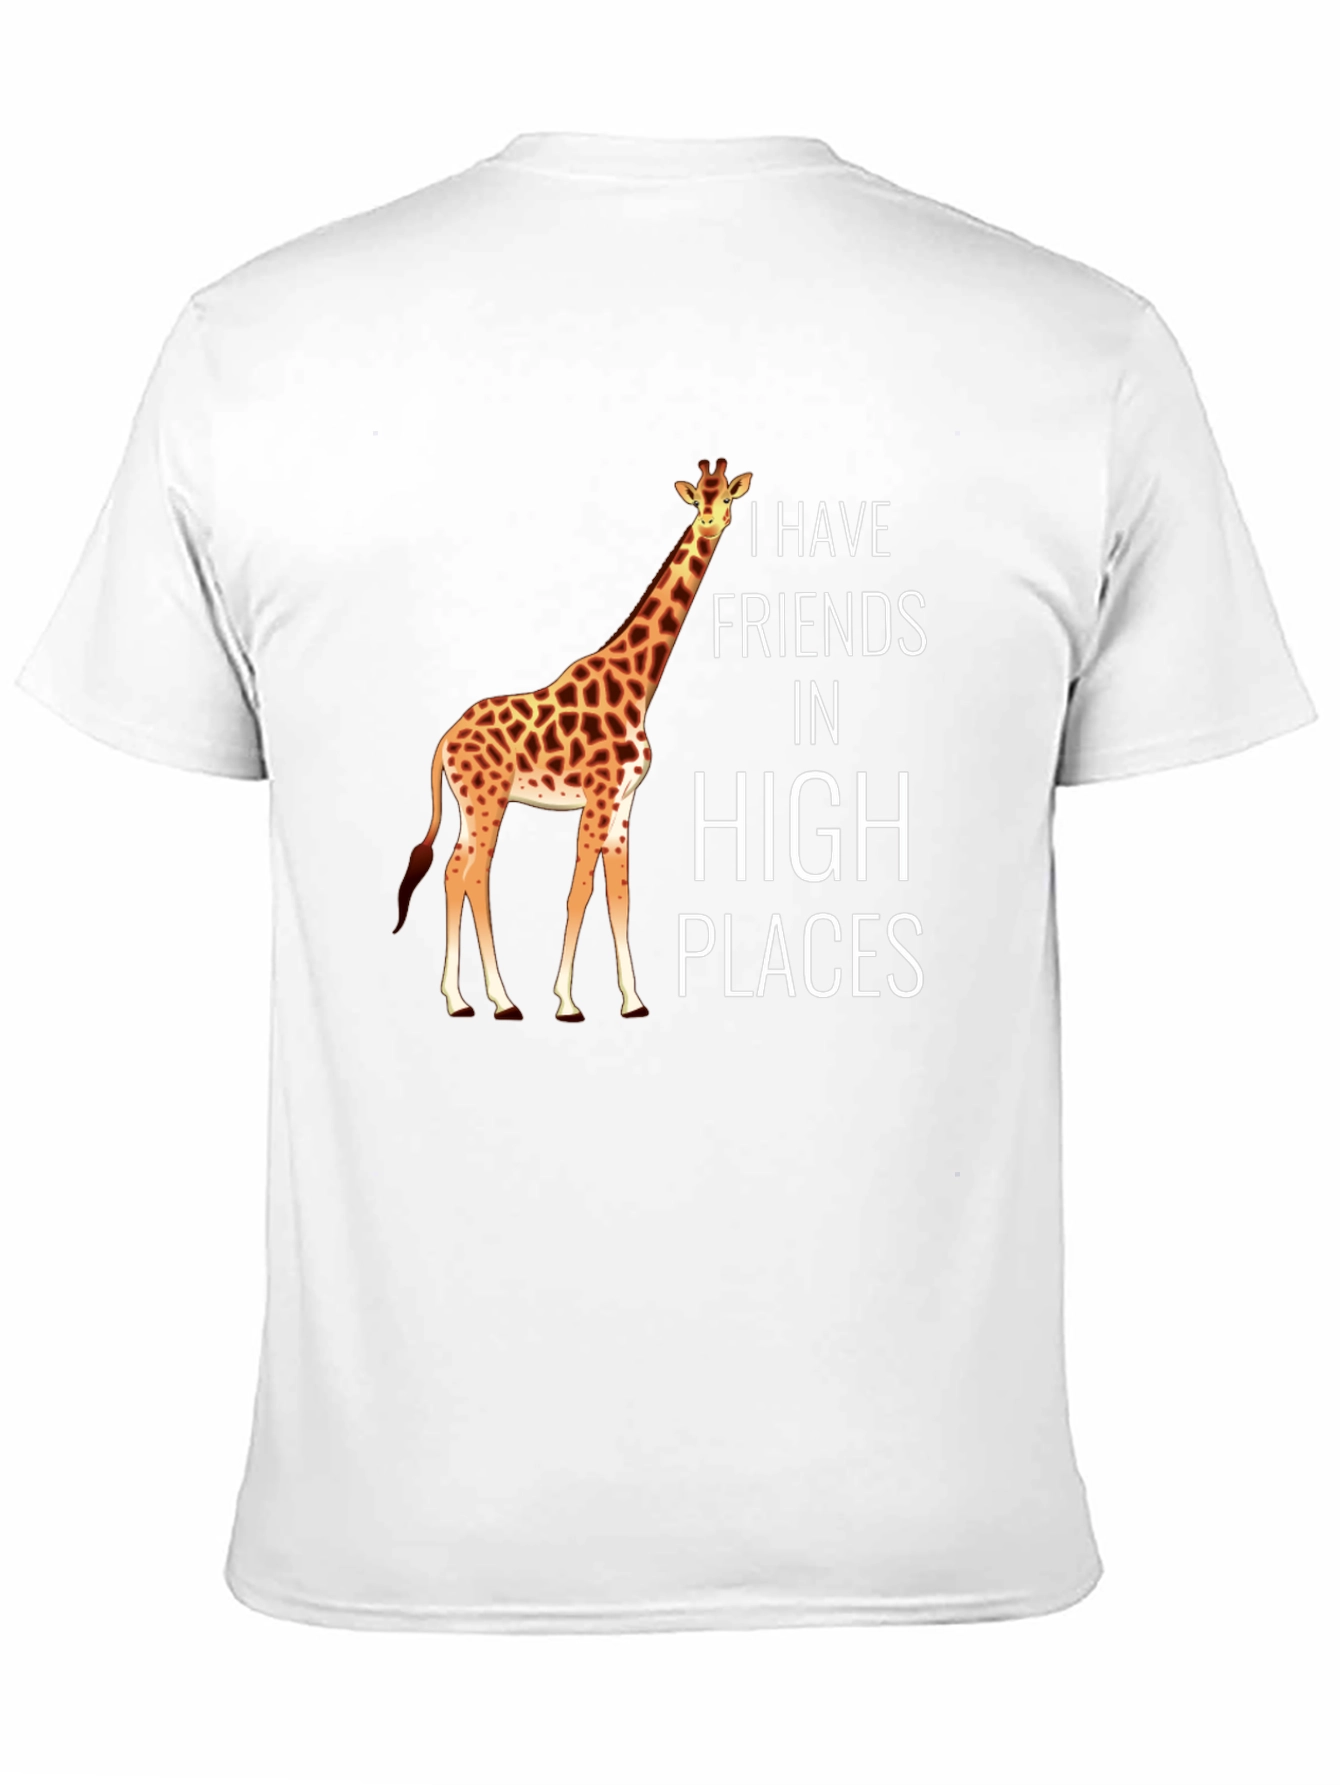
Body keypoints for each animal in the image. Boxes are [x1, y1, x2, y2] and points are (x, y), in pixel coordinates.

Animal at [393, 457, 753, 1022]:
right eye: (698, 498)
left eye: (728, 496)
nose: (713, 523)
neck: (638, 686)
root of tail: (444, 741)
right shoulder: (600, 798)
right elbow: (579, 891)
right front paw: (566, 1002)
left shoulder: (624, 803)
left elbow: (620, 897)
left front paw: (632, 1000)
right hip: (487, 801)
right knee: (472, 874)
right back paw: (497, 1001)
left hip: (473, 804)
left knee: (455, 872)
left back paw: (464, 998)